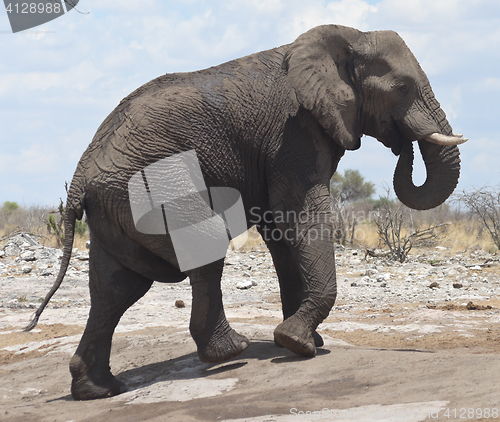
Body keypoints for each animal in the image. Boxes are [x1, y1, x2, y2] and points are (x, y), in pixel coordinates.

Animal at [27, 24, 464, 400]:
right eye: (402, 88)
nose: (402, 144)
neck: (347, 38)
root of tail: (81, 176)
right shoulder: (295, 130)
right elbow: (299, 217)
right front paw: (296, 342)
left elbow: (281, 233)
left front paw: (301, 340)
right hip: (150, 189)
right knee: (201, 249)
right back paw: (229, 351)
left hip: (113, 208)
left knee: (115, 288)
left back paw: (98, 390)